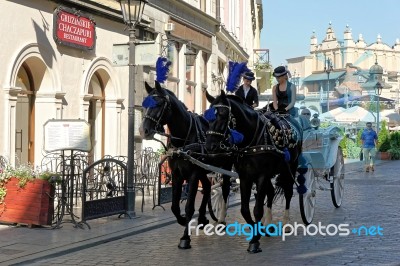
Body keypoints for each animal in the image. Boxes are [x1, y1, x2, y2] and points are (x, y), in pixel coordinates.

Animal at [139, 81, 231, 249]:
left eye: (159, 103)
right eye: (145, 103)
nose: (143, 130)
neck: (184, 139)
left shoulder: (193, 175)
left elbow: (188, 206)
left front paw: (185, 238)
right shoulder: (177, 174)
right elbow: (175, 206)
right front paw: (182, 220)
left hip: (226, 166)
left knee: (224, 189)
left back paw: (221, 219)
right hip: (203, 169)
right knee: (208, 187)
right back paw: (202, 218)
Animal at [205, 90, 304, 252]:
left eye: (223, 115)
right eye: (206, 117)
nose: (209, 146)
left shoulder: (261, 176)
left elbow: (257, 209)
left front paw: (255, 241)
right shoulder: (245, 176)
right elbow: (245, 209)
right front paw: (257, 232)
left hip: (290, 167)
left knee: (288, 192)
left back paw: (286, 223)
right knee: (270, 193)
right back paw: (268, 224)